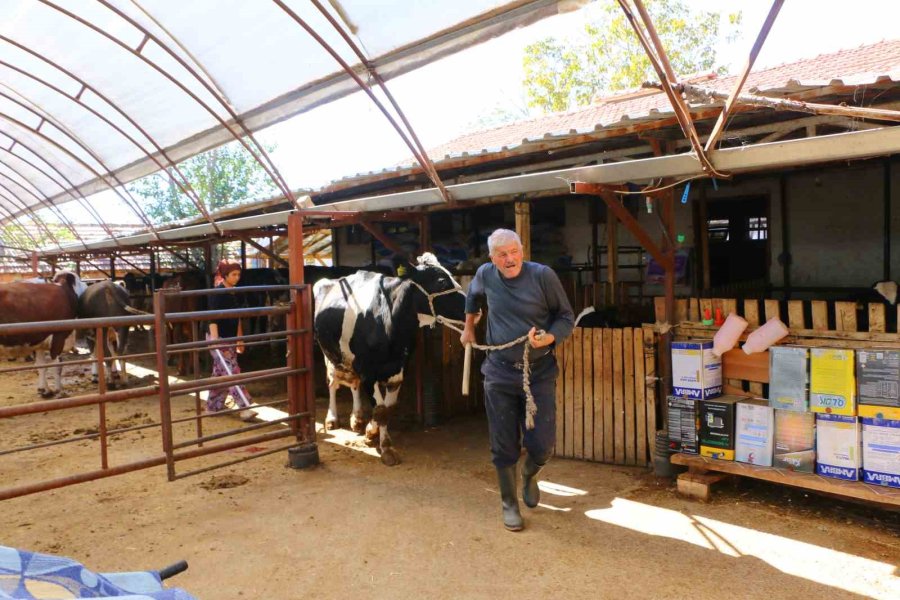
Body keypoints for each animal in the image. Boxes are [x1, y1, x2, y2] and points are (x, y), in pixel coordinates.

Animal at [312, 252, 464, 464]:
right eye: (441, 282)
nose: (475, 308)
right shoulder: (368, 370)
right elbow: (380, 410)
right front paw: (386, 448)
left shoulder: (398, 369)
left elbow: (387, 408)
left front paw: (371, 431)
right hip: (330, 353)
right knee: (333, 382)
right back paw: (332, 419)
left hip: (350, 358)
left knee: (353, 383)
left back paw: (357, 418)